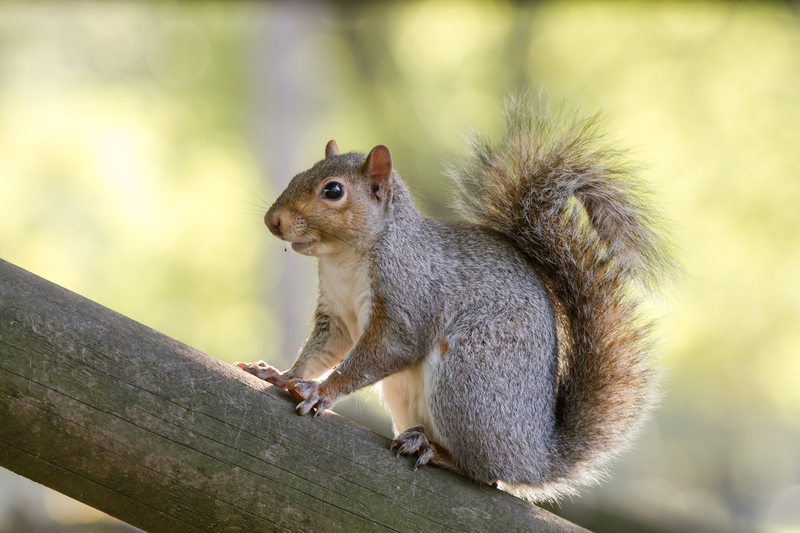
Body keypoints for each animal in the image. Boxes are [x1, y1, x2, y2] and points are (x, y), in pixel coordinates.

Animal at [234, 93, 680, 500]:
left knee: (485, 474)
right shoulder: (338, 316)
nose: (272, 220)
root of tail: (536, 455)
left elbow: (384, 350)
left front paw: (322, 391)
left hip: (469, 375)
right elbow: (319, 352)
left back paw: (433, 449)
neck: (343, 258)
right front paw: (282, 375)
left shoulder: (409, 299)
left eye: (332, 190)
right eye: (300, 174)